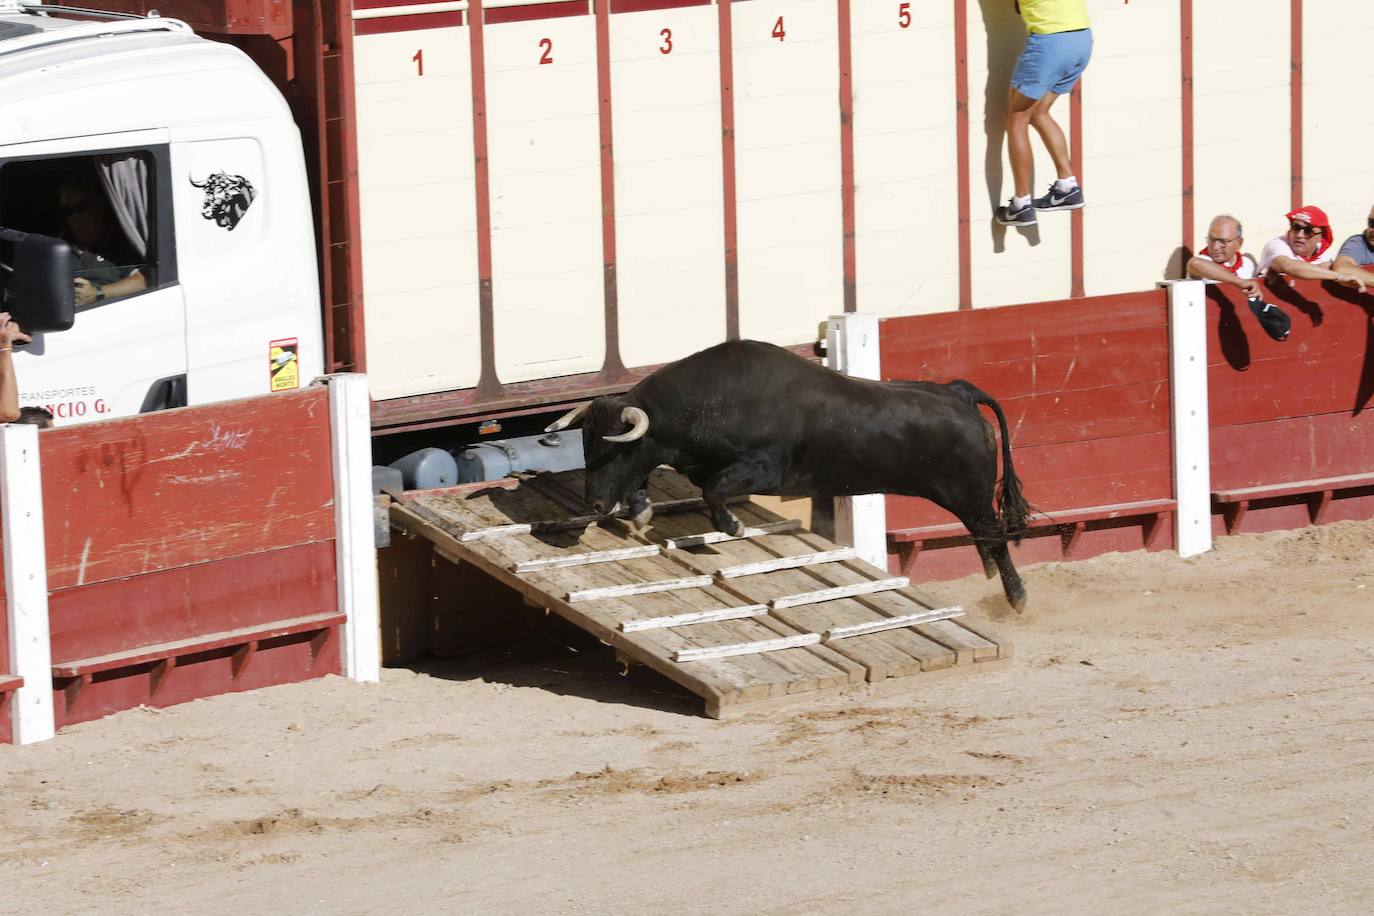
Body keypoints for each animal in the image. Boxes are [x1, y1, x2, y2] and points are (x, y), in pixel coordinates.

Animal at [546, 340, 1033, 612]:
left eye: (614, 449)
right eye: (585, 445)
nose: (592, 504)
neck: (711, 401)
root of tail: (958, 392)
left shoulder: (763, 469)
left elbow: (714, 490)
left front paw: (732, 526)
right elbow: (666, 481)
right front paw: (642, 510)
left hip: (970, 494)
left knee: (994, 535)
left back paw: (1017, 600)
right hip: (965, 499)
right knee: (984, 536)